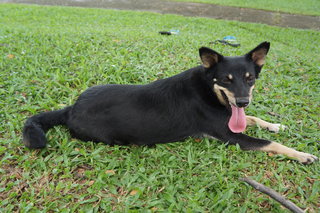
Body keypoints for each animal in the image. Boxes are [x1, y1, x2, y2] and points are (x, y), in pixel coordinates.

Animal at [23, 42, 318, 165]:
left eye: (250, 79)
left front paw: (275, 124)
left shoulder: (232, 117)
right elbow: (270, 144)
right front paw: (302, 154)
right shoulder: (230, 135)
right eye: (226, 79)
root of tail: (71, 108)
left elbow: (256, 121)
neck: (209, 90)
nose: (243, 101)